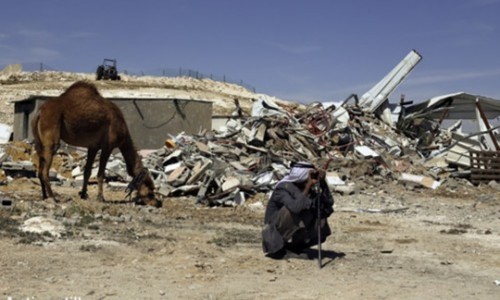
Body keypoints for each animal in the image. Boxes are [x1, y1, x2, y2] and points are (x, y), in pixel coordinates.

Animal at [31, 81, 160, 207]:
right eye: (150, 188)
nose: (157, 203)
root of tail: (39, 112)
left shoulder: (93, 147)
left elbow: (87, 171)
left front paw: (83, 194)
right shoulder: (108, 146)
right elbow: (100, 173)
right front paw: (100, 197)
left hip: (40, 142)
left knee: (40, 168)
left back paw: (44, 196)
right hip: (51, 136)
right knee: (44, 171)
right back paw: (53, 198)